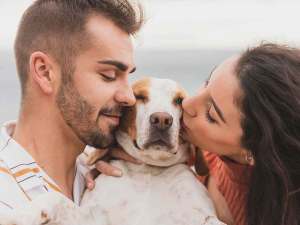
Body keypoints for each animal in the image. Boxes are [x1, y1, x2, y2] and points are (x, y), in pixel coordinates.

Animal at [0, 78, 225, 225]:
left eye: (179, 100)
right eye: (139, 96)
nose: (161, 120)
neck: (149, 172)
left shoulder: (203, 217)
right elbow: (57, 200)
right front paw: (14, 216)